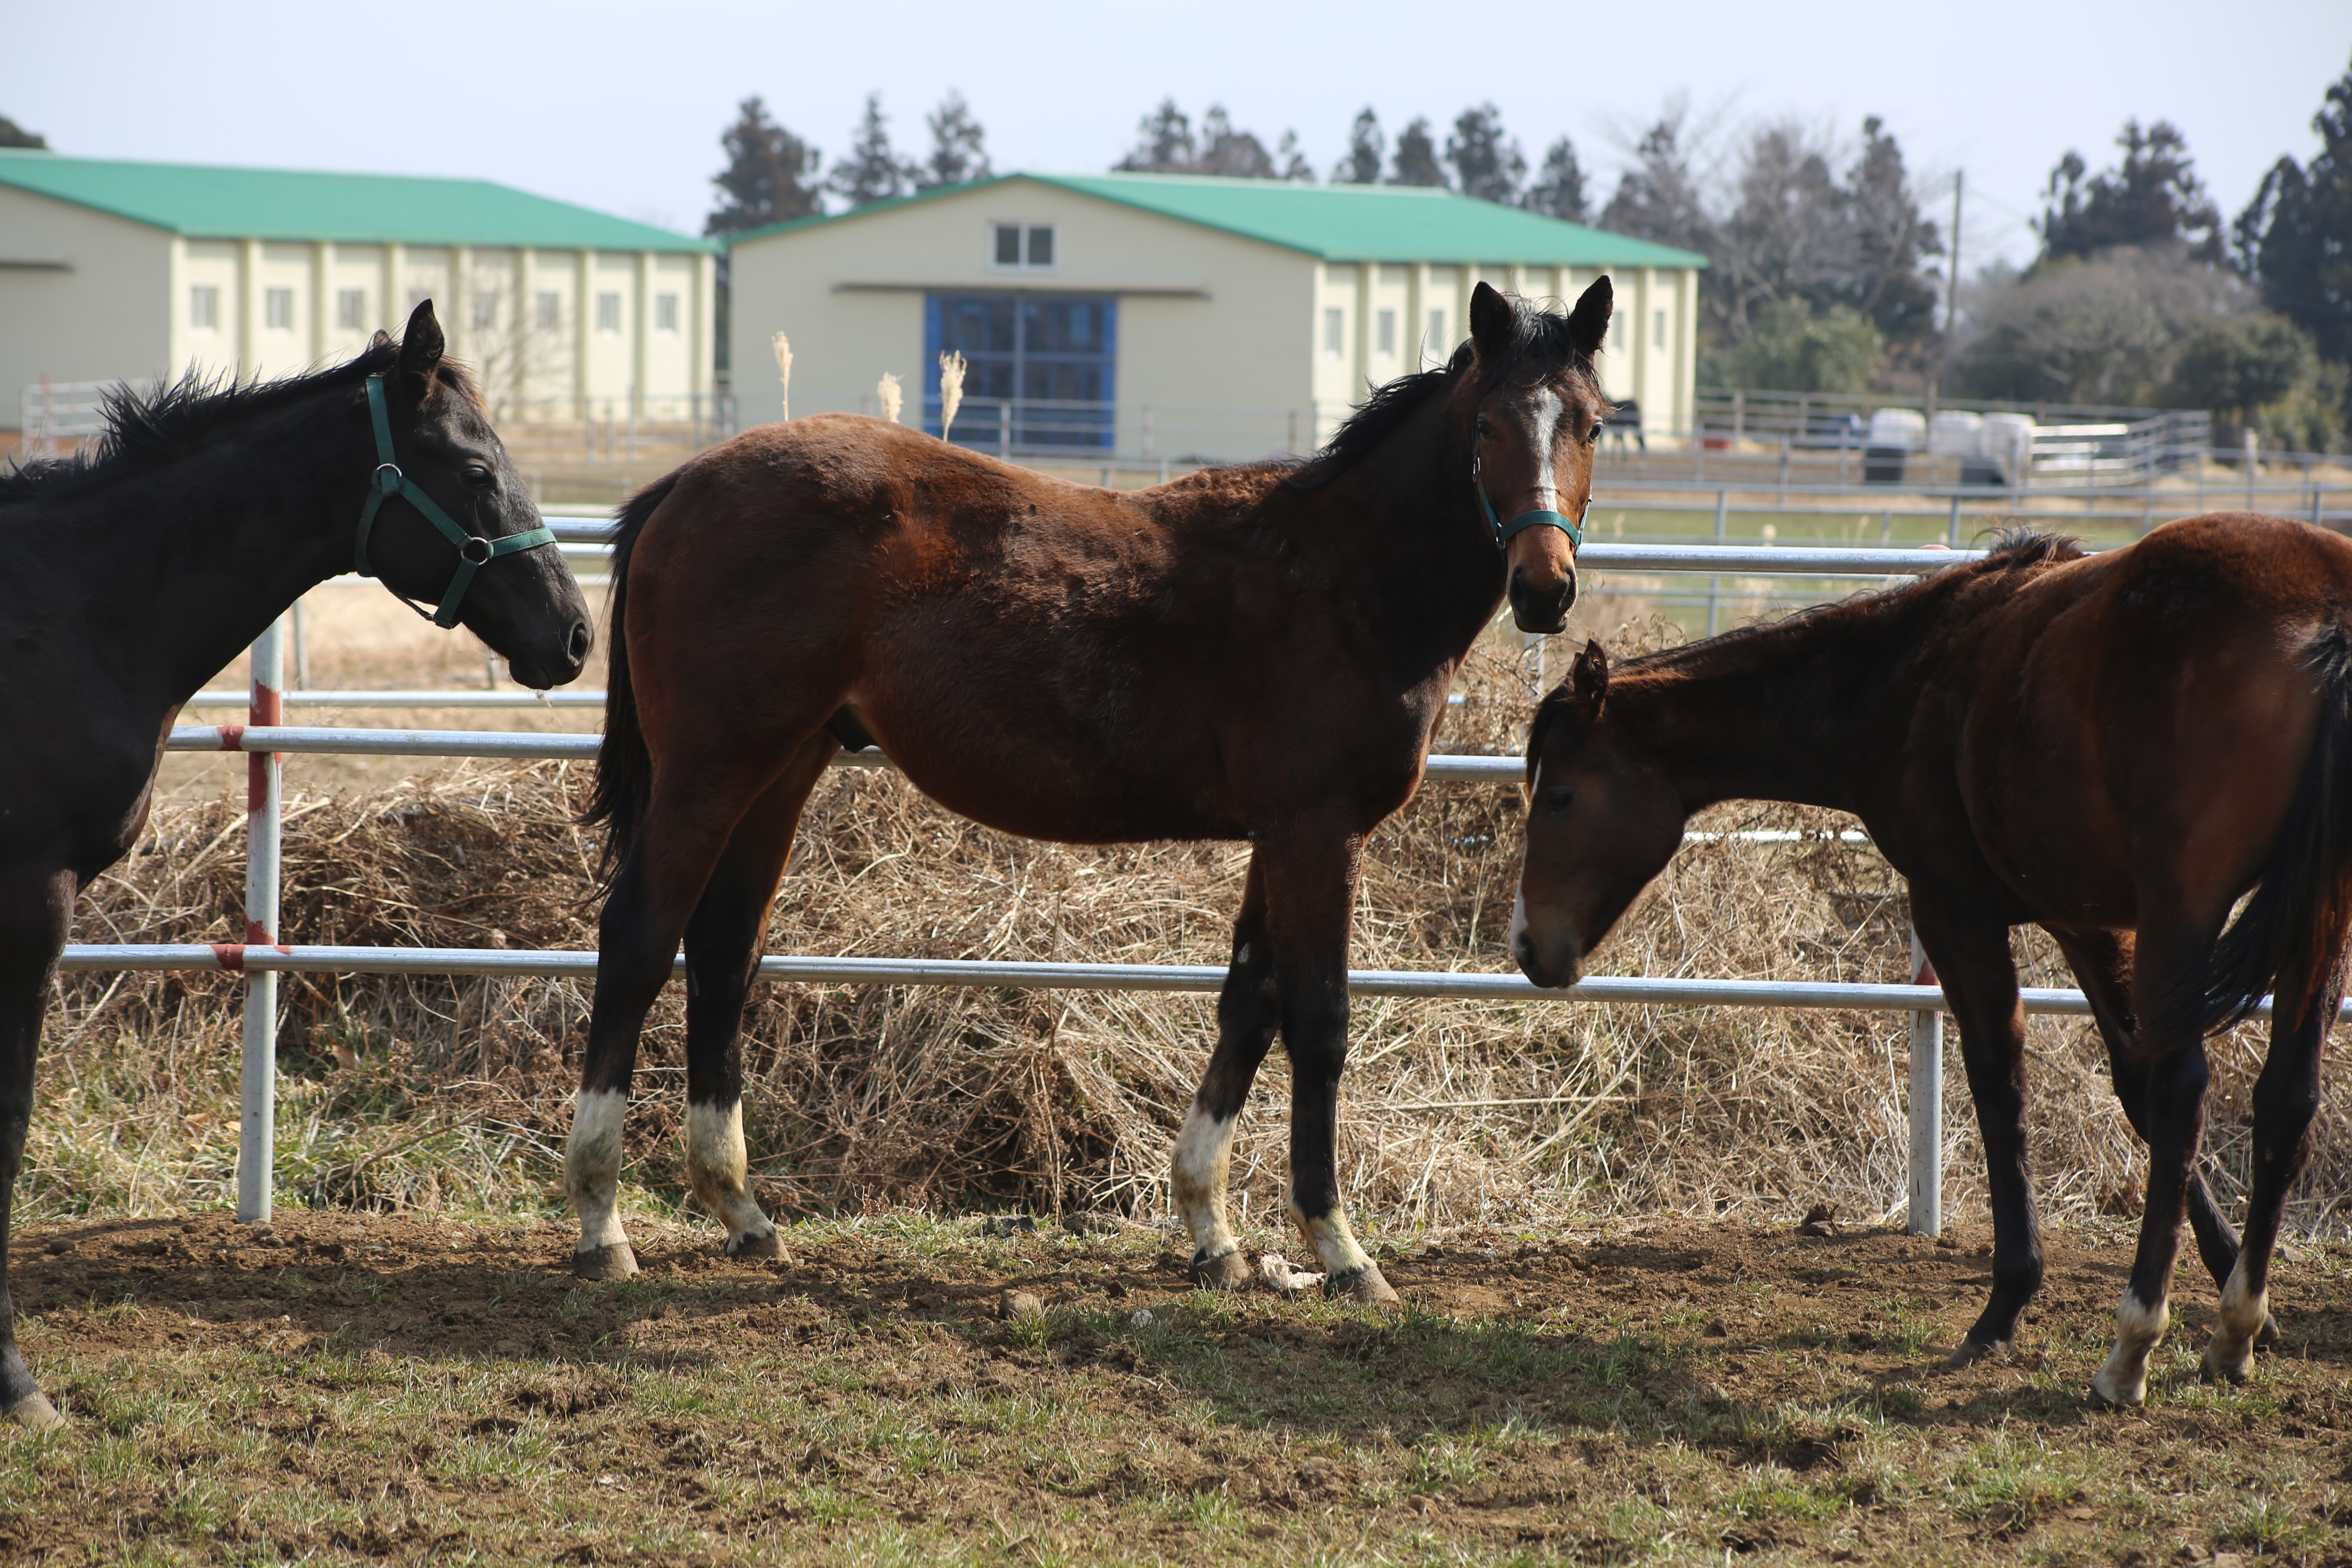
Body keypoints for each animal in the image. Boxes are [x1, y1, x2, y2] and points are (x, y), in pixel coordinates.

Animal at [559, 278, 1608, 1297]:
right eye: (1487, 427)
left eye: (1591, 425)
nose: (1543, 588)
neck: (1344, 576)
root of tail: (684, 484)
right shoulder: (1318, 832)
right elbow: (1318, 1021)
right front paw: (1341, 1248)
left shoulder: (1276, 837)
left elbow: (1249, 1003)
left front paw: (1210, 1231)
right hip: (709, 774)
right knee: (639, 940)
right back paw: (601, 1222)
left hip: (780, 772)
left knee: (723, 953)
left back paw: (741, 1211)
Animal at [1515, 517, 2342, 1410]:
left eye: (1560, 796)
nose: (1528, 947)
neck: (1908, 676)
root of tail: (2325, 613)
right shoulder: (2085, 923)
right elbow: (2133, 1084)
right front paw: (2241, 1291)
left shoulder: (1957, 911)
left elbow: (2002, 1082)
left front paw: (2007, 1303)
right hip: (2315, 919)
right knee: (2285, 1098)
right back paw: (2235, 1331)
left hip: (2185, 907)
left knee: (2190, 1089)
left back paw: (2131, 1348)